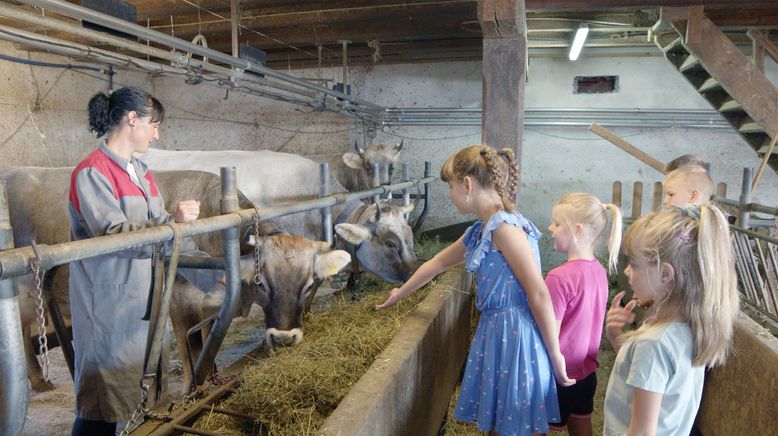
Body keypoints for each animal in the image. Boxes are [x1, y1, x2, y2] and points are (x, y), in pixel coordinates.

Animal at [0, 166, 348, 392]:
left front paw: (213, 376)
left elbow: (208, 341)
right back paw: (39, 381)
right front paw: (193, 390)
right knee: (23, 336)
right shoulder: (182, 302)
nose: (285, 338)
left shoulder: (211, 306)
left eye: (308, 284)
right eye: (262, 282)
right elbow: (192, 350)